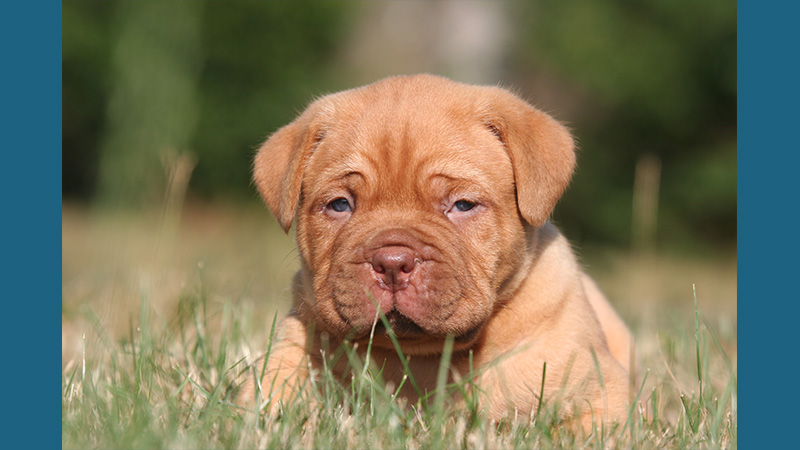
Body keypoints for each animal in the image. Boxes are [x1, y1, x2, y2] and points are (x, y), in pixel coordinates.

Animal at [241, 74, 636, 432]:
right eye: (340, 205)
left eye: (462, 205)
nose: (392, 263)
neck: (420, 353)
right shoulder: (296, 348)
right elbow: (269, 394)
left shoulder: (598, 394)